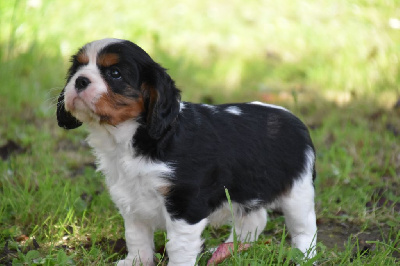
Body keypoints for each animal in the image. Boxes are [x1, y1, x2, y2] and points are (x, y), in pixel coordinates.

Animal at [57, 38, 318, 264]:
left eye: (114, 73)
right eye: (77, 68)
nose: (79, 81)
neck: (131, 138)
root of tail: (293, 118)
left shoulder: (185, 205)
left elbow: (178, 247)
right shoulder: (131, 200)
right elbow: (136, 236)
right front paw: (136, 262)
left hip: (298, 191)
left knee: (305, 228)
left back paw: (304, 257)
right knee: (255, 219)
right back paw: (229, 250)